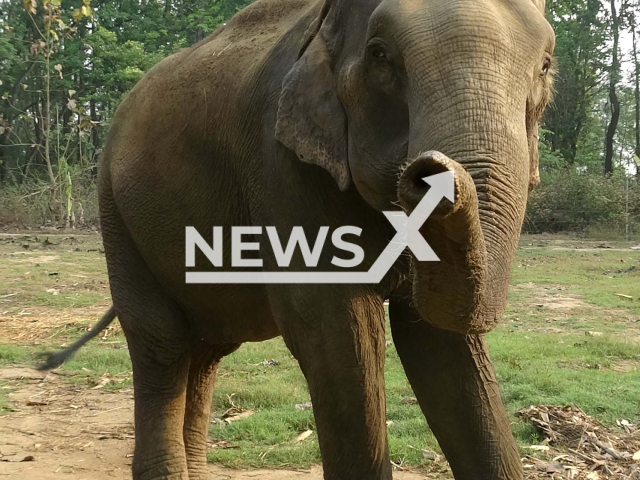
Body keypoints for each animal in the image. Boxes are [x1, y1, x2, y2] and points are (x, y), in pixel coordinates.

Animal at [41, 0, 556, 478]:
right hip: (116, 212)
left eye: (546, 65)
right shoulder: (281, 165)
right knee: (161, 342)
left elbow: (437, 339)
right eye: (379, 54)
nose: (428, 169)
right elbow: (338, 333)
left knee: (204, 353)